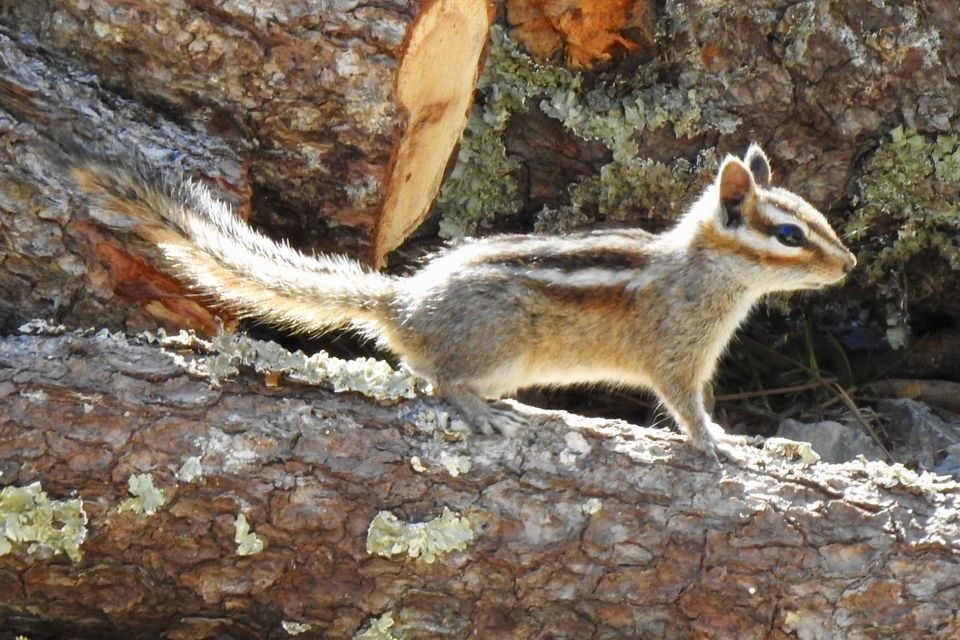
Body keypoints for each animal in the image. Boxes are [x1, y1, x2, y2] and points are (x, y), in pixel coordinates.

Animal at [69, 144, 856, 463]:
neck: (708, 272)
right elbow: (687, 409)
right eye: (788, 235)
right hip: (497, 345)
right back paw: (481, 412)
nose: (848, 265)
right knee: (439, 380)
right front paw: (722, 444)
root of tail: (403, 303)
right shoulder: (676, 354)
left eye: (816, 218)